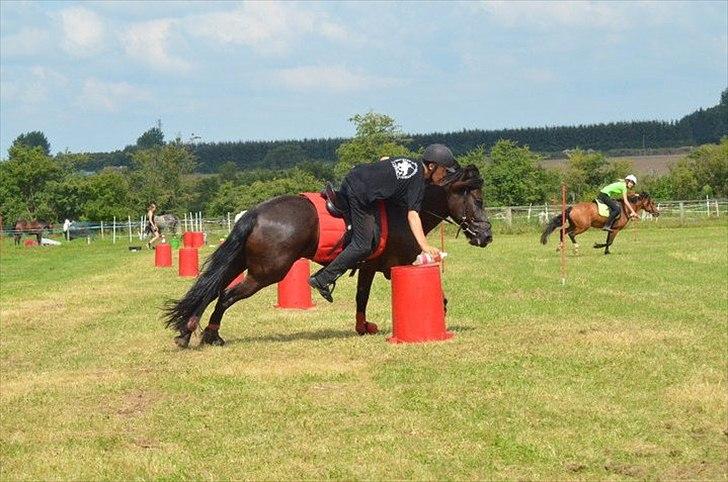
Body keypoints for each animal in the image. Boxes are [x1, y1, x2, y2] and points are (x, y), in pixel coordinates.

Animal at [164, 165, 492, 346]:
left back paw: (187, 332)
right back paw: (211, 335)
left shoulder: (369, 266)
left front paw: (363, 327)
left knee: (209, 290)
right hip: (267, 272)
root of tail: (255, 213)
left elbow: (361, 298)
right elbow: (442, 299)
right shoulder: (398, 264)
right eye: (477, 200)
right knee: (226, 296)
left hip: (241, 263)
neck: (406, 212)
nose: (486, 235)